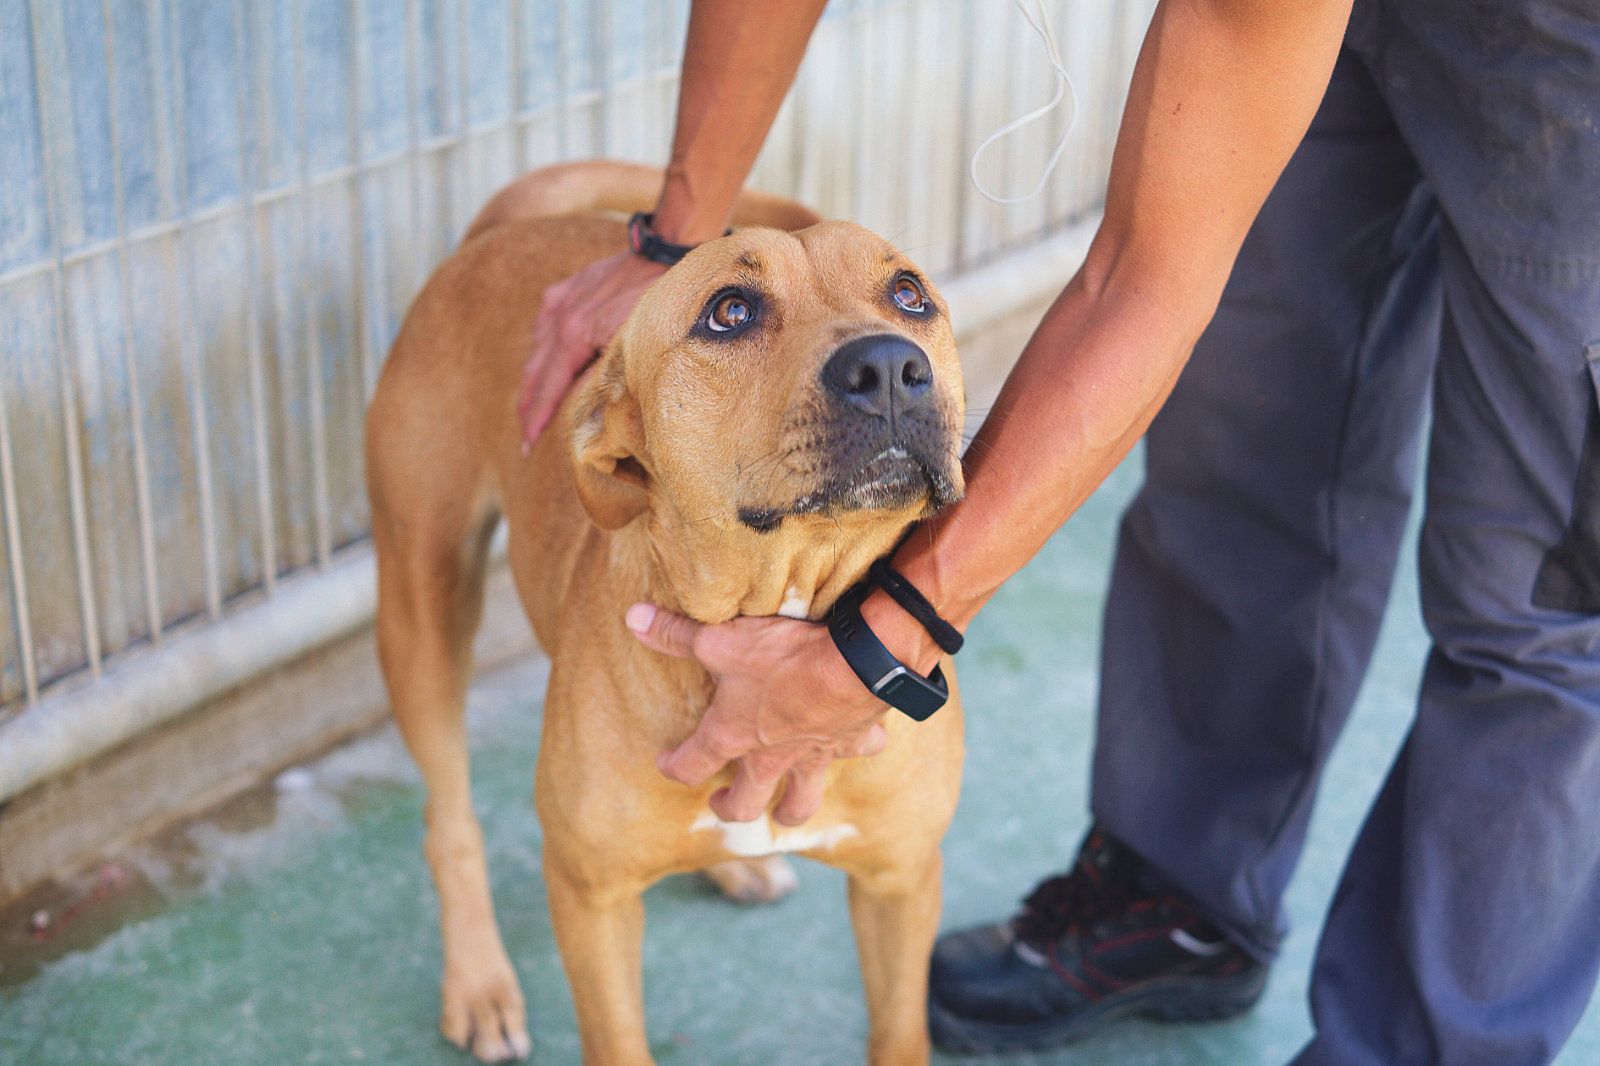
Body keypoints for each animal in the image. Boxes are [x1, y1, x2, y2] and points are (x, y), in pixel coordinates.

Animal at [366, 161, 967, 1065]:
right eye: (731, 311)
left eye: (909, 295)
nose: (893, 365)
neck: (776, 604)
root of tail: (502, 233)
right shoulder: (593, 901)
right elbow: (617, 1038)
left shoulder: (902, 884)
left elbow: (899, 1031)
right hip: (420, 603)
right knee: (450, 818)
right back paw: (477, 980)